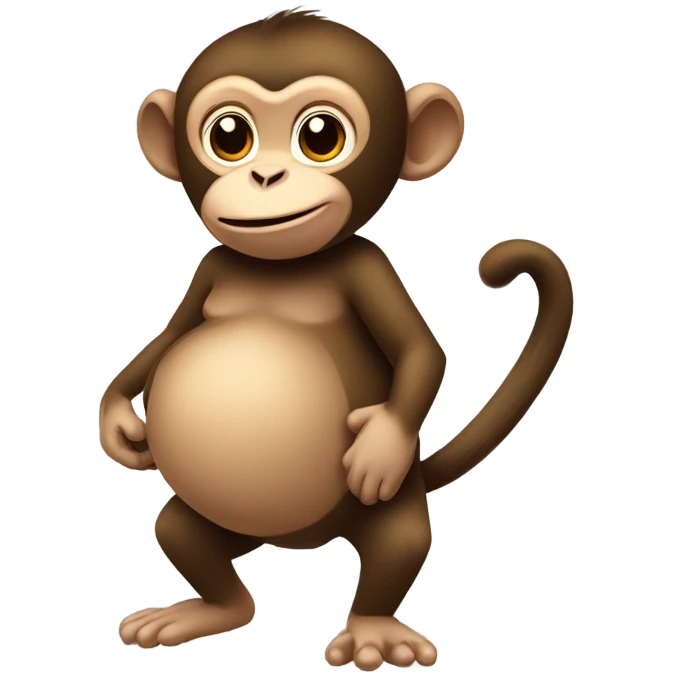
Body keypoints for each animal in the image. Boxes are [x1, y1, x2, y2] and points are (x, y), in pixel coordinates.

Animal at [100, 7, 574, 671]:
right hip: (210, 518)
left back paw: (374, 632)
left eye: (320, 136)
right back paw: (208, 612)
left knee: (400, 542)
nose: (265, 175)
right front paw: (117, 423)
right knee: (180, 534)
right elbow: (164, 339)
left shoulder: (368, 264)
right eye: (229, 136)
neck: (284, 264)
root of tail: (298, 541)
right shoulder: (212, 266)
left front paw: (378, 445)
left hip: (390, 506)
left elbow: (421, 352)